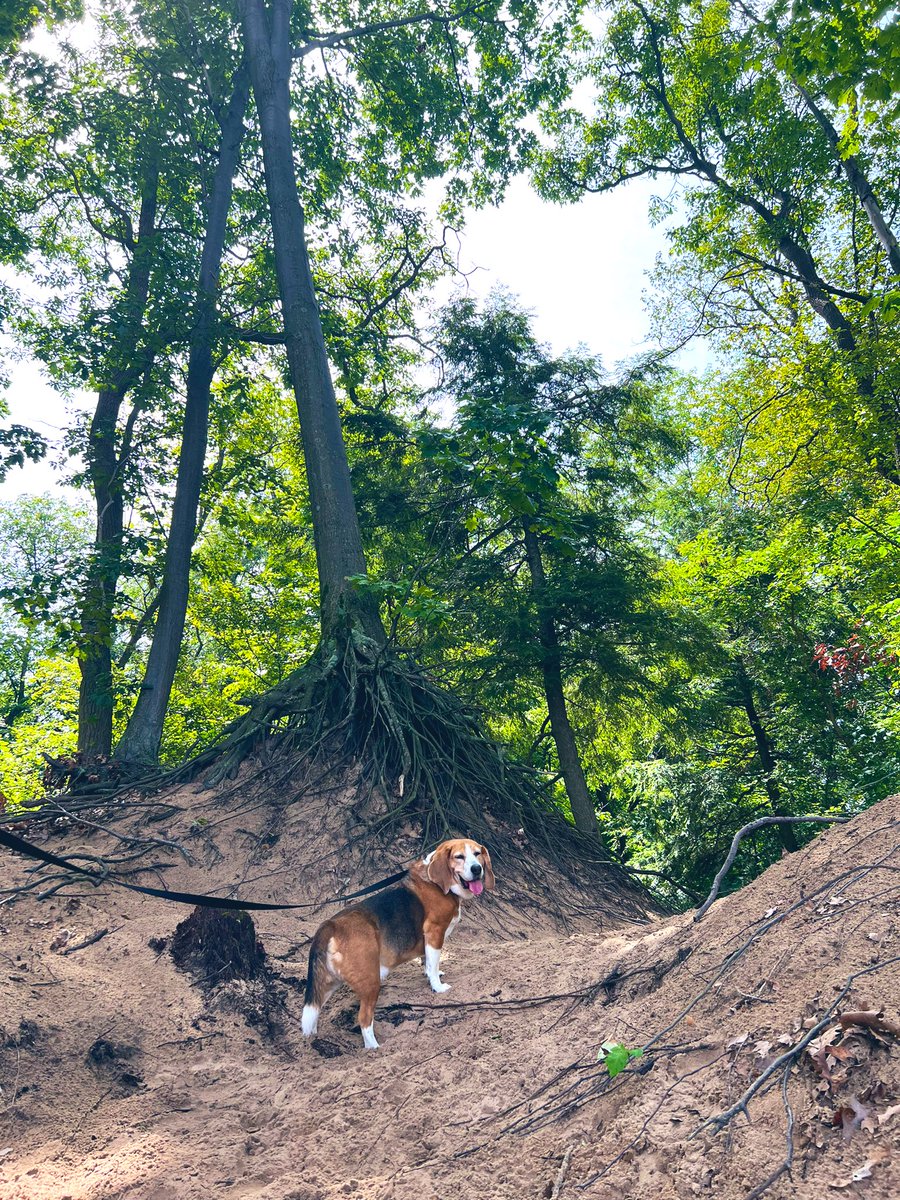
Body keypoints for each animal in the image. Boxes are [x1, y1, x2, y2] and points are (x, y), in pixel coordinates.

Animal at [307, 840, 496, 1046]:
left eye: (477, 854)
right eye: (459, 857)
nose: (477, 869)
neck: (436, 882)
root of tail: (331, 925)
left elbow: (428, 962)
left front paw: (430, 973)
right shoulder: (435, 933)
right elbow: (433, 963)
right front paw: (437, 986)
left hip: (327, 984)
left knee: (314, 1009)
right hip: (371, 983)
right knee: (364, 1019)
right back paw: (374, 1048)